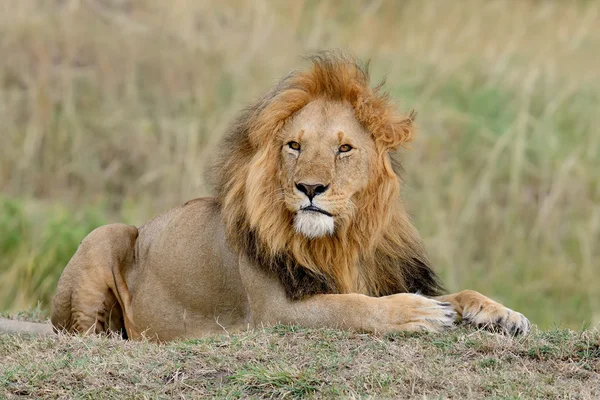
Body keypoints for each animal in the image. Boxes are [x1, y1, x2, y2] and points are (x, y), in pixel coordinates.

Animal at [0, 54, 528, 340]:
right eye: (294, 145)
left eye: (344, 149)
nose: (310, 188)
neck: (340, 241)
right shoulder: (276, 313)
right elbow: (352, 306)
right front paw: (417, 312)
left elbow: (459, 293)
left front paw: (504, 314)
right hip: (107, 235)